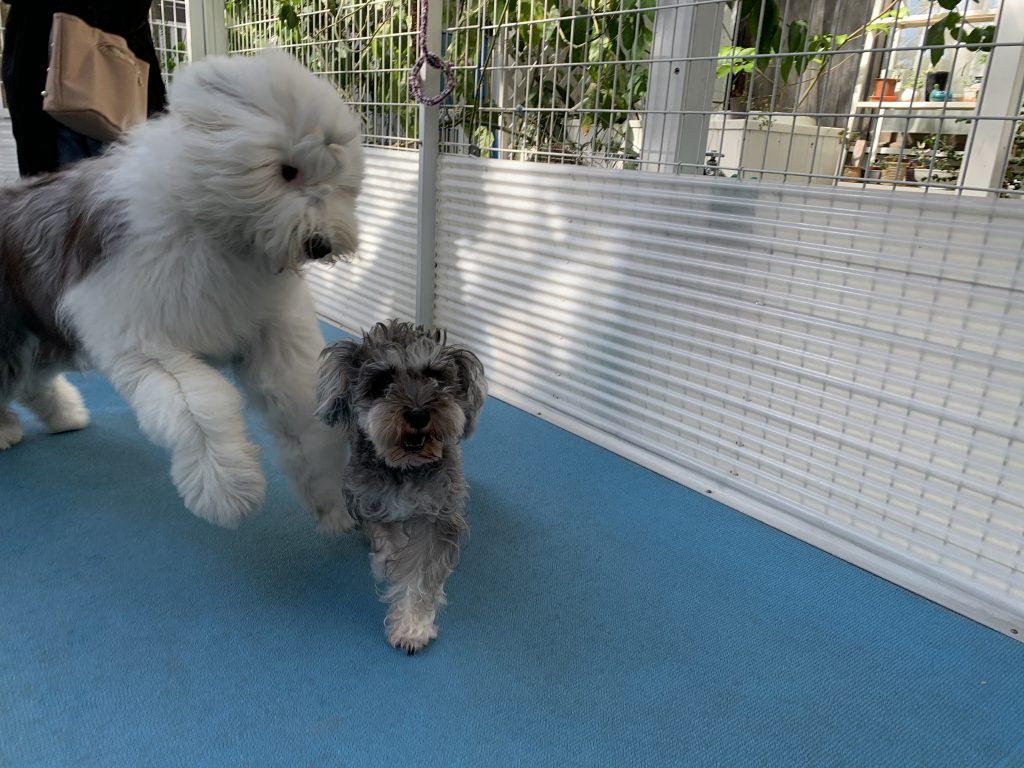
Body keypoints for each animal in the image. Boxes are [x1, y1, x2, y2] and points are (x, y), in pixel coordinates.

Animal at [0, 51, 364, 532]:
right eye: (287, 171)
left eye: (339, 177)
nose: (320, 244)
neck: (214, 229)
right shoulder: (145, 341)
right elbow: (198, 407)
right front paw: (228, 490)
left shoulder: (270, 333)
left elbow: (299, 408)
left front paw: (332, 502)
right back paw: (6, 429)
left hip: (44, 329)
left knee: (29, 379)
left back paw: (64, 416)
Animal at [313, 319, 485, 655]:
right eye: (382, 381)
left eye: (435, 376)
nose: (418, 414)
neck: (406, 468)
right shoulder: (370, 503)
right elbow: (391, 546)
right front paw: (387, 562)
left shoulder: (438, 515)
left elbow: (416, 570)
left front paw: (411, 626)